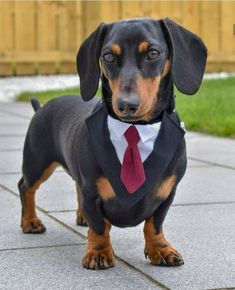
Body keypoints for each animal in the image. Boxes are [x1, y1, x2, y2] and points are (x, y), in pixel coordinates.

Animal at [18, 18, 207, 270]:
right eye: (108, 56)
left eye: (153, 53)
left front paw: (160, 249)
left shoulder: (167, 192)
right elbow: (99, 226)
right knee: (26, 187)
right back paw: (30, 221)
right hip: (38, 162)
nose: (127, 105)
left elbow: (154, 224)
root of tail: (42, 107)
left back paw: (80, 217)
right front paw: (98, 252)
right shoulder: (92, 190)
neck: (135, 128)